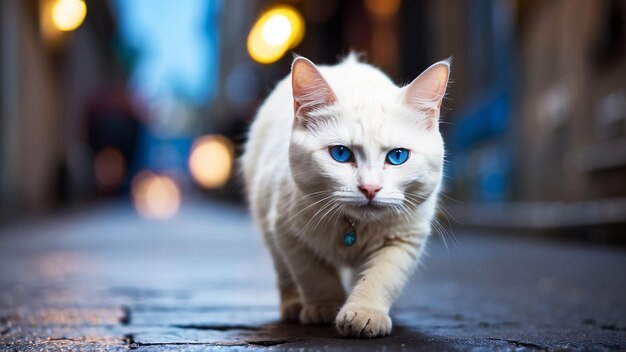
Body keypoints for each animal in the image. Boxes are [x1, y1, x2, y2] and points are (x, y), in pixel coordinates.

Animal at [240, 53, 448, 338]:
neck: (354, 225)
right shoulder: (286, 230)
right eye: (340, 153)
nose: (370, 188)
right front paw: (326, 306)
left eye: (398, 156)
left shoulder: (404, 238)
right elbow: (313, 274)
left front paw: (364, 313)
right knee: (284, 274)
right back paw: (294, 304)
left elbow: (381, 277)